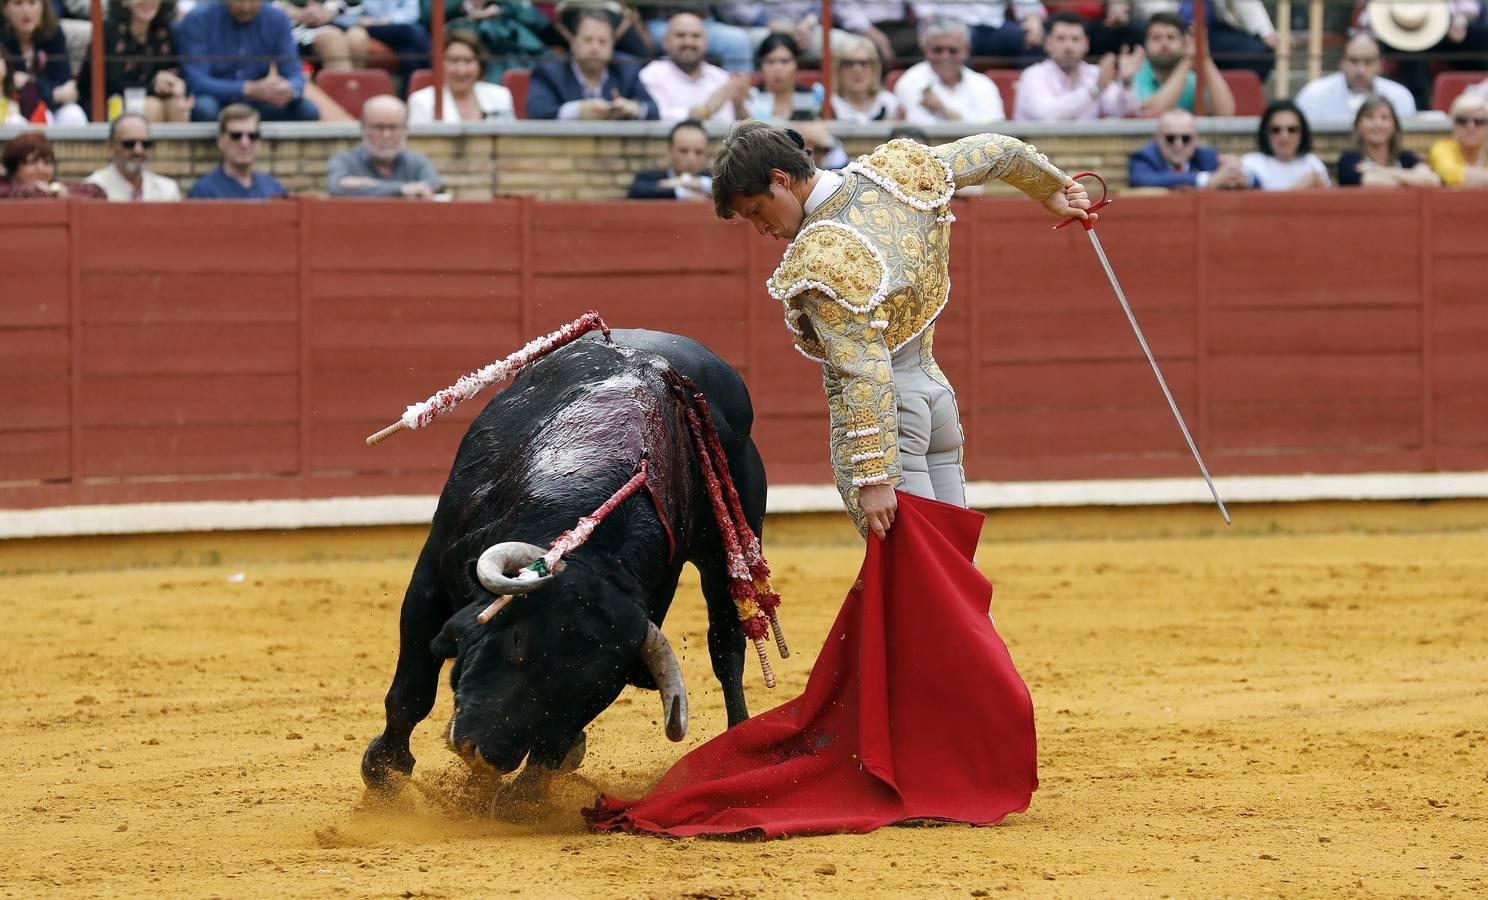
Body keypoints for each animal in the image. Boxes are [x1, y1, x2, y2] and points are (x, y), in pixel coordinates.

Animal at [360, 328, 767, 797]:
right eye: (517, 642)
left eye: (594, 689)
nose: (487, 754)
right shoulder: (429, 581)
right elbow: (412, 690)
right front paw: (385, 773)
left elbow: (550, 748)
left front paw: (521, 797)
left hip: (726, 550)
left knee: (727, 647)